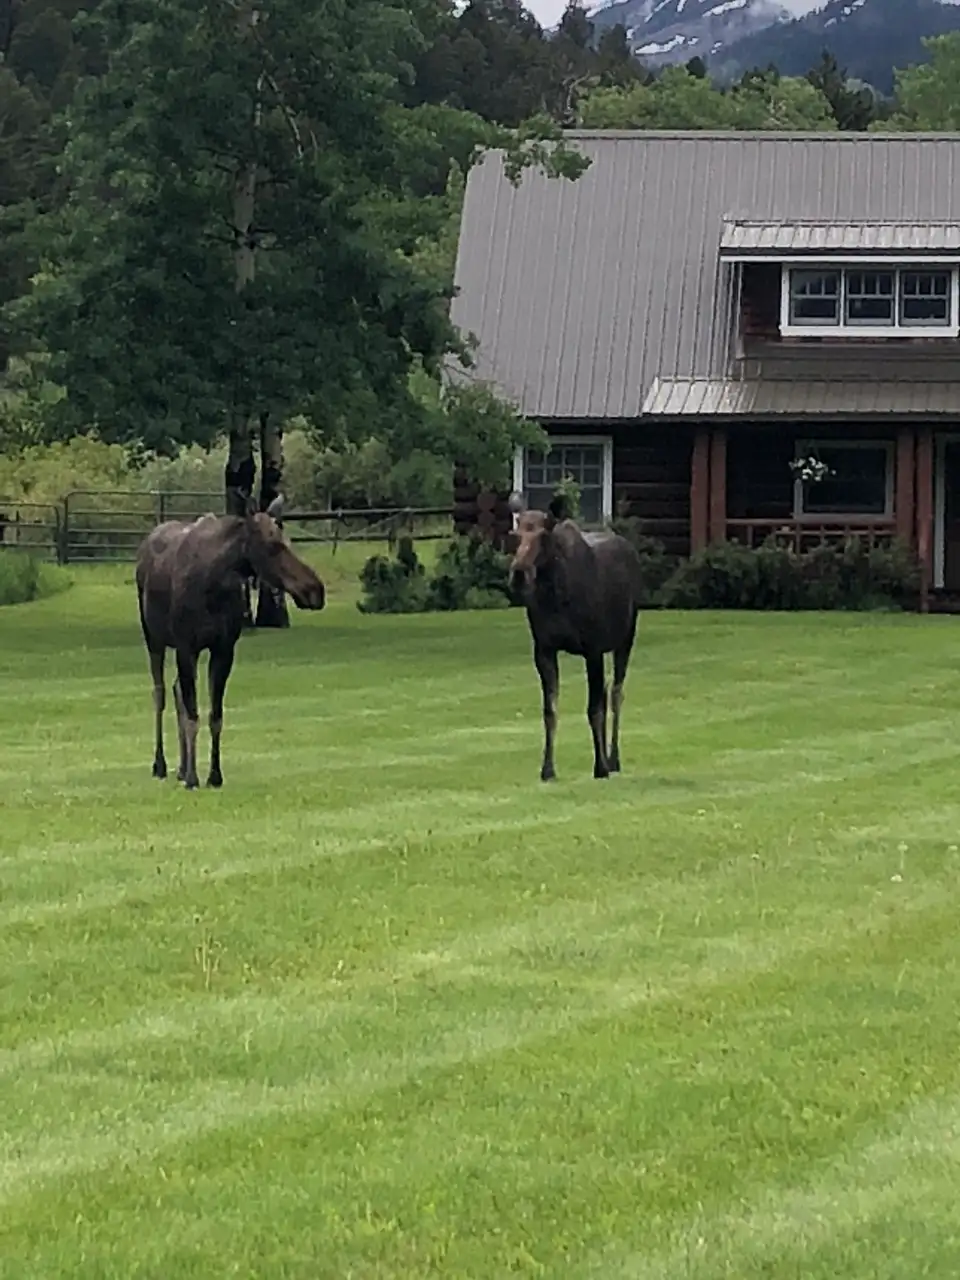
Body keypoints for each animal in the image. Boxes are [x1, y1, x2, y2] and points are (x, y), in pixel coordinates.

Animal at [134, 496, 327, 788]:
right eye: (273, 545)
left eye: (289, 541)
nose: (316, 590)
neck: (214, 585)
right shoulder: (186, 646)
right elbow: (193, 715)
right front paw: (193, 778)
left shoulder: (224, 648)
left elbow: (215, 716)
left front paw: (213, 775)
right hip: (153, 638)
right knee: (161, 693)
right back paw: (161, 764)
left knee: (177, 690)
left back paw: (181, 766)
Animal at [506, 488, 642, 783]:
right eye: (516, 534)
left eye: (543, 534)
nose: (519, 573)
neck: (555, 594)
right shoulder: (544, 649)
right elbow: (550, 711)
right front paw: (547, 768)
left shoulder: (592, 648)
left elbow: (594, 709)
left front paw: (600, 767)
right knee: (606, 691)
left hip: (626, 637)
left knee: (616, 693)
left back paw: (613, 759)